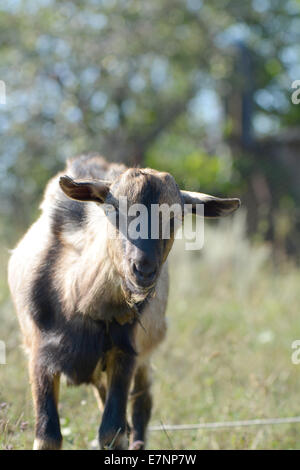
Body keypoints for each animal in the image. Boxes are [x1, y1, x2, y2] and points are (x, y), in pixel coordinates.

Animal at [7, 155, 241, 452]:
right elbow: (48, 435)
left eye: (174, 217)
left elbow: (112, 431)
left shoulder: (125, 353)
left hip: (144, 356)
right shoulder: (39, 355)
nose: (144, 270)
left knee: (142, 405)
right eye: (115, 209)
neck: (78, 300)